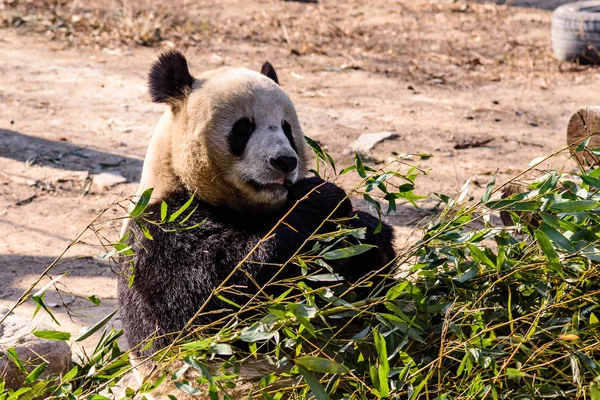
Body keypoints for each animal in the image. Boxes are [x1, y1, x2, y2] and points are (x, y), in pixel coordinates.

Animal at [118, 50, 398, 360]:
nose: (285, 161)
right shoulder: (162, 226)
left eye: (287, 129)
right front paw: (322, 197)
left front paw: (364, 229)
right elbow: (212, 299)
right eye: (243, 128)